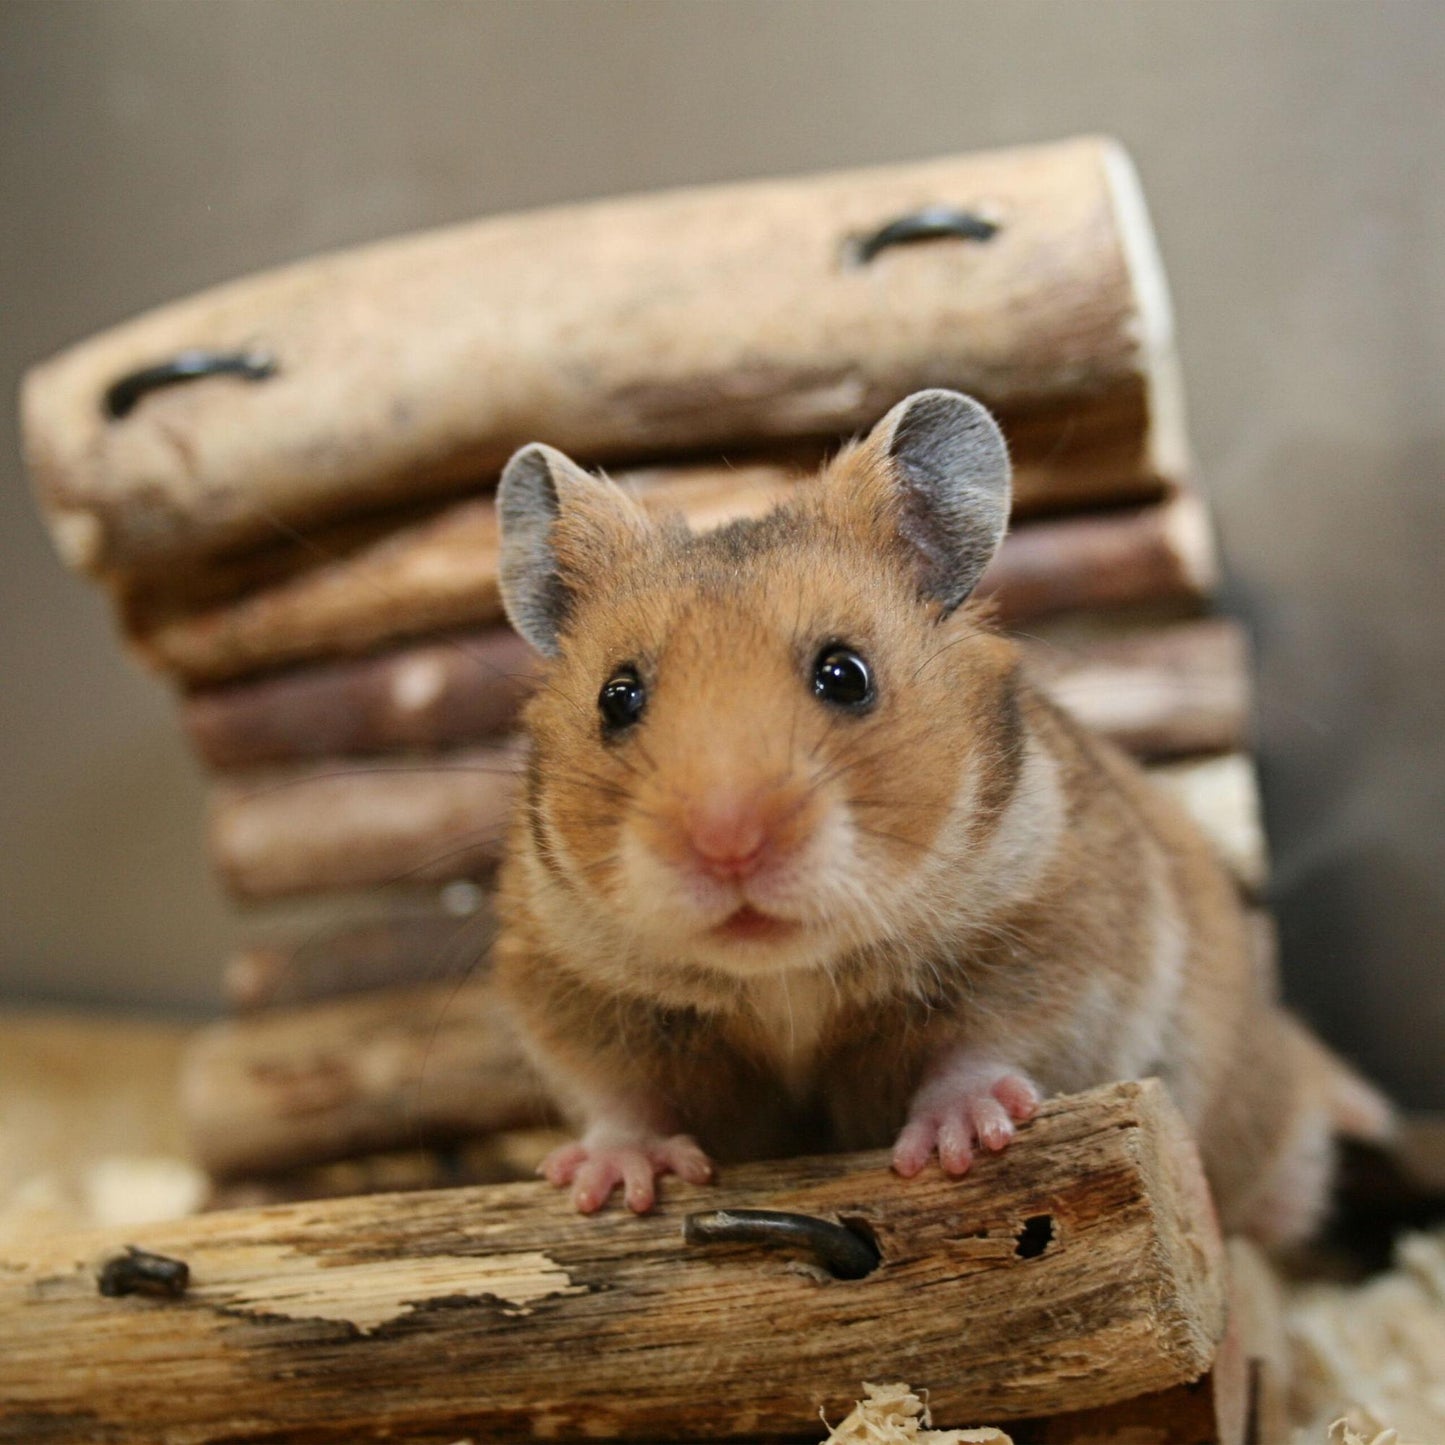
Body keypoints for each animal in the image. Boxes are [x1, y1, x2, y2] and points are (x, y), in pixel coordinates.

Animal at [491, 389, 1390, 1245]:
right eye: (616, 698)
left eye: (845, 674)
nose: (727, 845)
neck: (786, 979)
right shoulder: (569, 987)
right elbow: (622, 1097)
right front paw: (609, 1184)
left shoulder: (1056, 940)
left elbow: (985, 1045)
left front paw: (958, 1146)